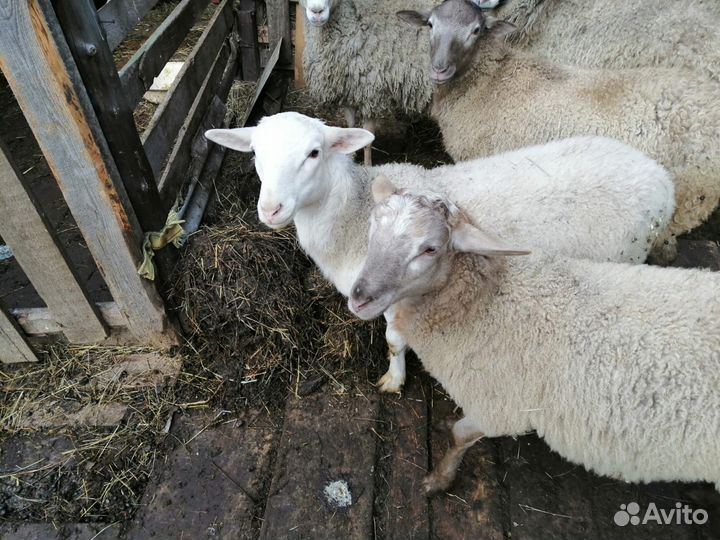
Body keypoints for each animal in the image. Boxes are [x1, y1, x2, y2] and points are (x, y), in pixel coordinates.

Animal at [204, 111, 674, 393]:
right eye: (255, 154)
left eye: (314, 153)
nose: (270, 209)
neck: (351, 214)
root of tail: (660, 176)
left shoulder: (397, 295)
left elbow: (394, 341)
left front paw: (394, 379)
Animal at [348, 178, 720, 494]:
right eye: (373, 225)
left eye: (430, 249)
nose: (359, 297)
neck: (486, 302)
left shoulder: (497, 407)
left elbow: (459, 435)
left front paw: (439, 479)